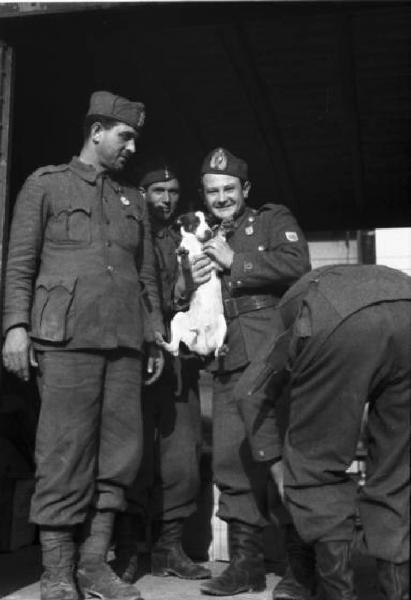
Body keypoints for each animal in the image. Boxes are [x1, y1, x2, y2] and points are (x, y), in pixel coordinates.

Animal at [161, 212, 227, 356]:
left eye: (208, 222)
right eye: (195, 222)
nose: (208, 232)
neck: (198, 244)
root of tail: (202, 347)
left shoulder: (216, 264)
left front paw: (222, 230)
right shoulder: (189, 264)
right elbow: (186, 262)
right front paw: (184, 254)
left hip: (221, 321)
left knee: (217, 350)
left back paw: (221, 350)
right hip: (178, 318)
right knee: (174, 348)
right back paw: (161, 342)